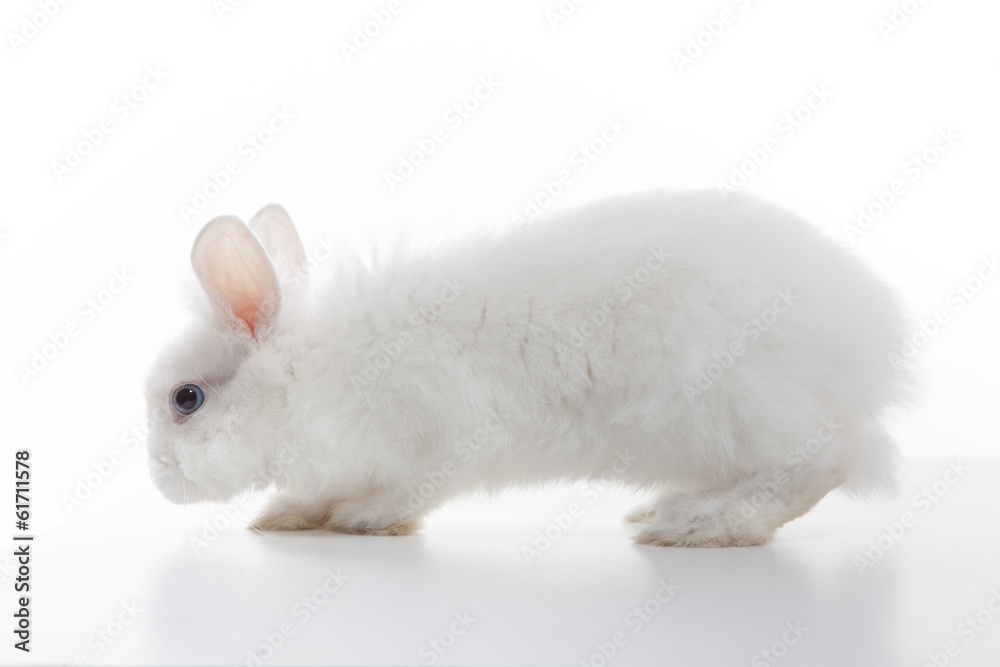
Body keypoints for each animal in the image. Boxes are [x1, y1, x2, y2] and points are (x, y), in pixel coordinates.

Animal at [145, 189, 913, 547]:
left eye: (186, 398)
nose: (159, 484)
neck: (302, 378)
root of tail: (868, 345)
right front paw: (285, 515)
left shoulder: (437, 439)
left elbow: (410, 492)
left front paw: (365, 521)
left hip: (744, 408)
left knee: (817, 470)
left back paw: (696, 523)